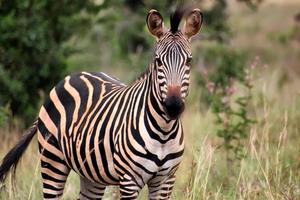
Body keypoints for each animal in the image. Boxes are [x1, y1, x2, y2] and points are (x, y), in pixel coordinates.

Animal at [0, 7, 204, 200]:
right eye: (158, 61)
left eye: (189, 61)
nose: (173, 106)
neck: (164, 131)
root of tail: (71, 76)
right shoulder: (129, 180)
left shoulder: (166, 180)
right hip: (52, 160)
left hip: (92, 174)